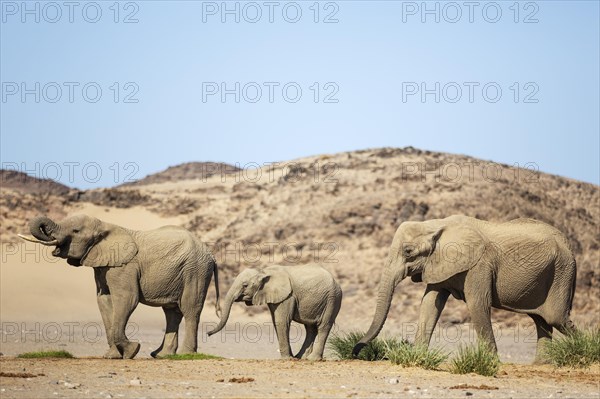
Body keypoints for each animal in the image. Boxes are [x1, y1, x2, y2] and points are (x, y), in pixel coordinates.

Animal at [18, 214, 221, 360]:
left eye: (75, 231)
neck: (105, 226)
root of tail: (211, 255)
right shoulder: (102, 267)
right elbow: (104, 301)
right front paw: (112, 356)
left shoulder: (125, 267)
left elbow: (127, 299)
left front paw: (132, 350)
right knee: (171, 312)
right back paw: (161, 356)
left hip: (195, 270)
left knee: (190, 309)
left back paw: (185, 355)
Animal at [209, 264, 342, 360]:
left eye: (245, 285)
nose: (208, 334)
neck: (263, 270)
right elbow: (275, 321)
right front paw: (290, 358)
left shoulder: (288, 296)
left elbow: (281, 321)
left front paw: (287, 359)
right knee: (310, 328)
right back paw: (301, 357)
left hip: (332, 299)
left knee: (324, 326)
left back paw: (312, 359)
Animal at [352, 217, 576, 364]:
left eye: (408, 251)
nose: (355, 352)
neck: (435, 225)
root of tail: (568, 244)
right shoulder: (437, 265)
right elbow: (430, 304)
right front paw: (418, 356)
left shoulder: (480, 266)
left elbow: (478, 304)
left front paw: (491, 363)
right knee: (541, 320)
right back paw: (541, 364)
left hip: (562, 272)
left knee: (556, 318)